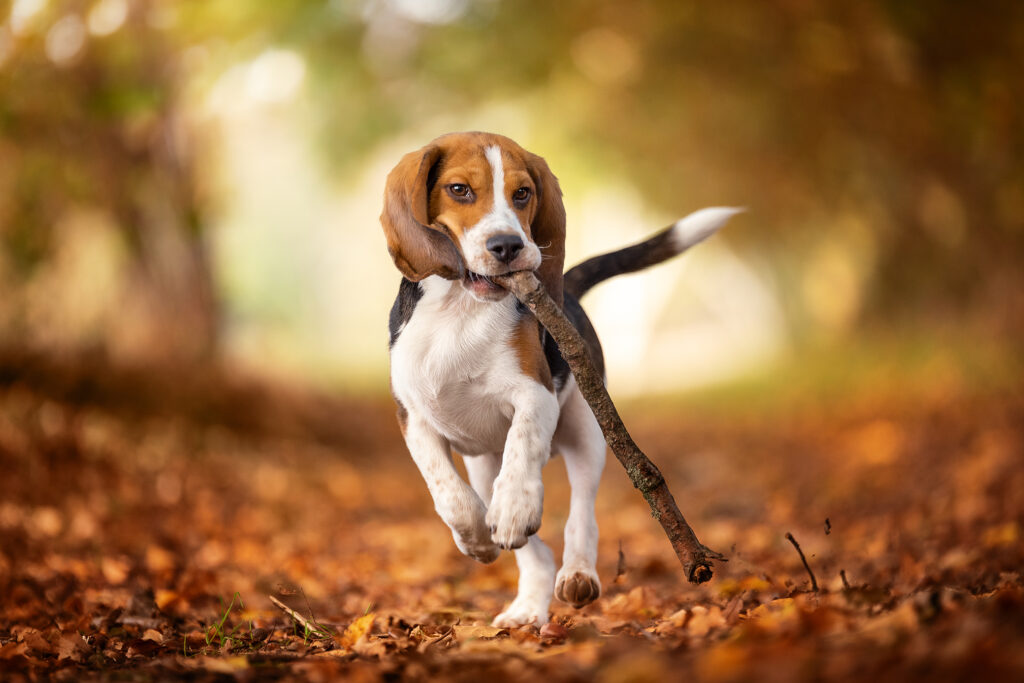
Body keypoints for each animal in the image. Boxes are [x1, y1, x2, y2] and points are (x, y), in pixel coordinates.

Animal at [380, 131, 741, 626]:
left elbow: (523, 449)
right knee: (529, 545)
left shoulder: (536, 395)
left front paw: (516, 506)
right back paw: (527, 607)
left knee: (580, 514)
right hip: (483, 462)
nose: (508, 246)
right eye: (459, 190)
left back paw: (577, 574)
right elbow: (449, 494)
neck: (461, 309)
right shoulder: (413, 418)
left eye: (522, 193)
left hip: (588, 432)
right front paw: (477, 539)